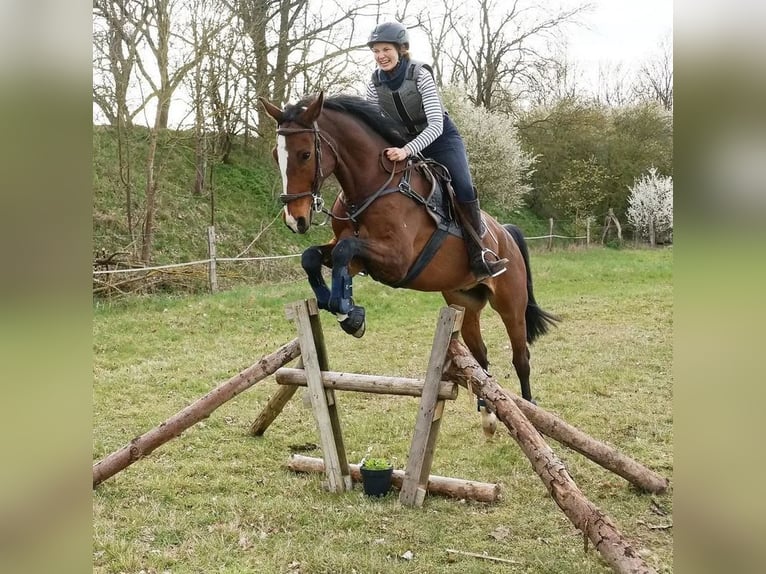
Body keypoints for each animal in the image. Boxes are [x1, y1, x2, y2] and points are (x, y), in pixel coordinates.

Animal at [258, 90, 560, 432]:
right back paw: (488, 415)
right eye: (276, 155)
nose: (294, 220)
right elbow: (317, 256)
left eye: (306, 154)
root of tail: (505, 233)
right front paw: (344, 310)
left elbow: (344, 249)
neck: (371, 187)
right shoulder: (360, 258)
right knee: (480, 358)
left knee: (521, 358)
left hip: (511, 304)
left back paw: (530, 413)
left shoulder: (397, 260)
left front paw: (348, 313)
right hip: (464, 302)